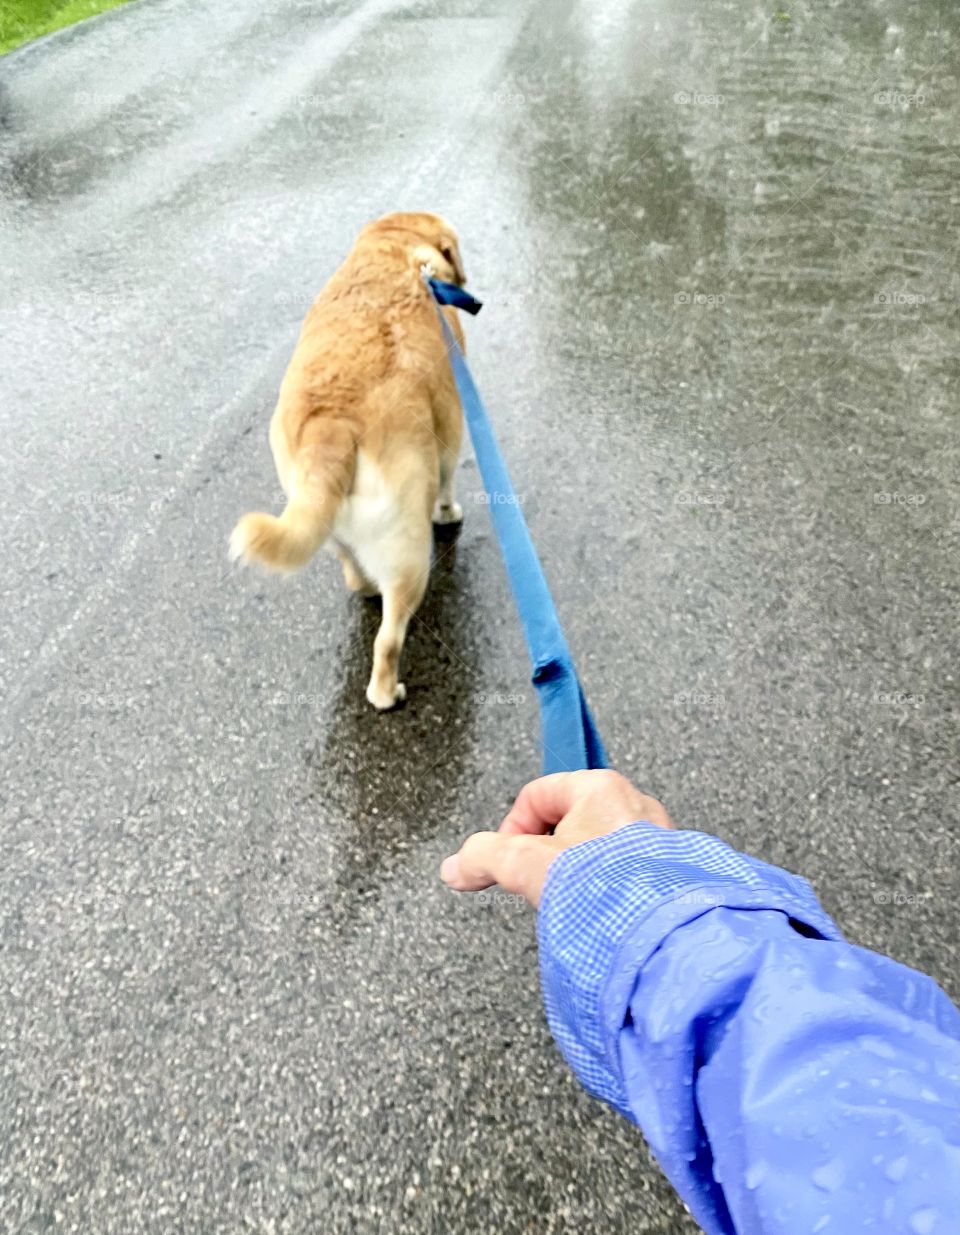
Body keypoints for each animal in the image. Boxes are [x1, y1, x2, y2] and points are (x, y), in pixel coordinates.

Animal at [229, 212, 467, 711]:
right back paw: (388, 693)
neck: (397, 251)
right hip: (408, 553)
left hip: (325, 519)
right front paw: (450, 513)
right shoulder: (452, 424)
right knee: (388, 640)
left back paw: (365, 586)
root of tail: (332, 424)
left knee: (354, 574)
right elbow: (449, 479)